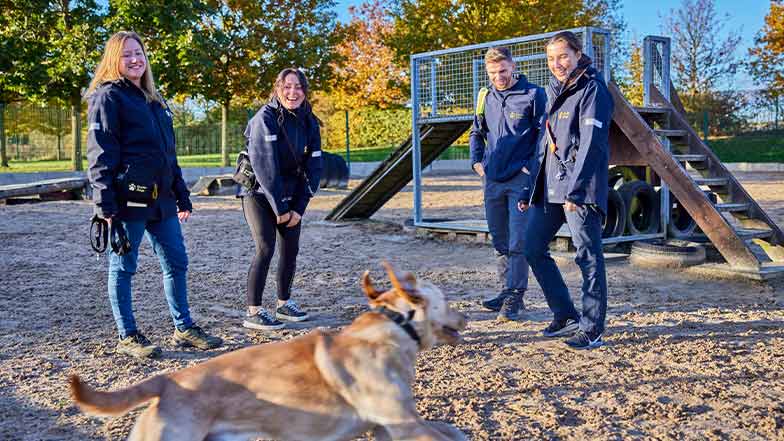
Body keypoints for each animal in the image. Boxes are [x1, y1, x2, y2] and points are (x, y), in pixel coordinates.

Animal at [70, 262, 468, 438]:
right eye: (447, 301)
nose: (465, 316)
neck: (393, 329)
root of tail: (167, 381)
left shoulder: (389, 427)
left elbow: (453, 430)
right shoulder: (403, 425)